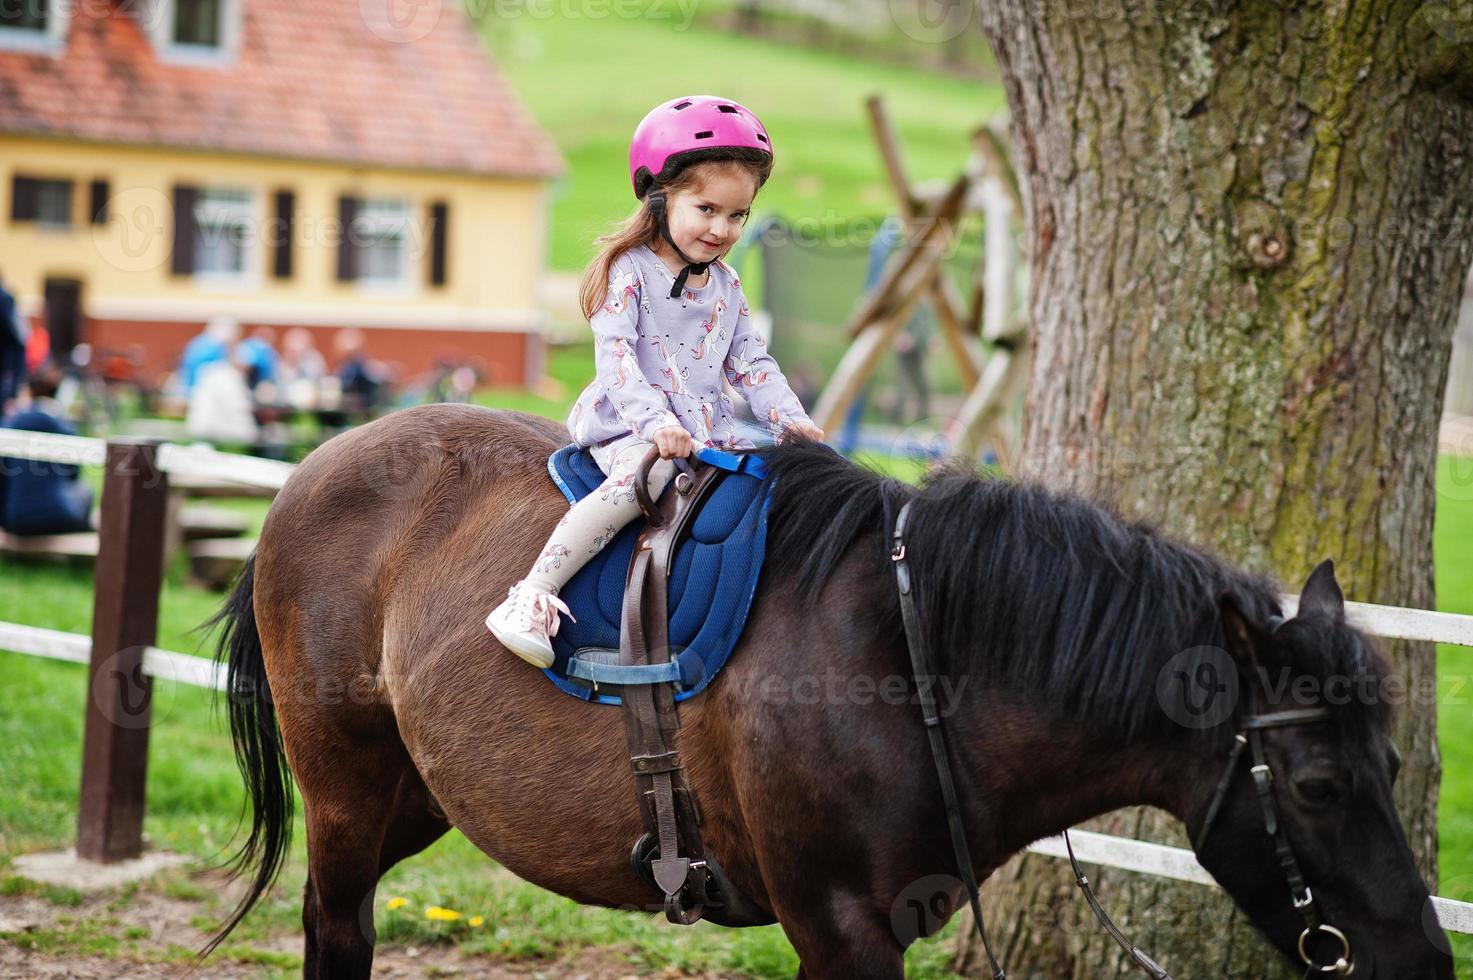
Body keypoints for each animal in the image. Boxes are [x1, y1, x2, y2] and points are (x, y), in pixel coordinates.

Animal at [207, 400, 1449, 972]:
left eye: (1391, 762)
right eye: (1318, 783)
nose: (1426, 957)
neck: (910, 656)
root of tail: (315, 466)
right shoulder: (842, 929)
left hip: (415, 797)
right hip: (348, 795)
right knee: (336, 924)